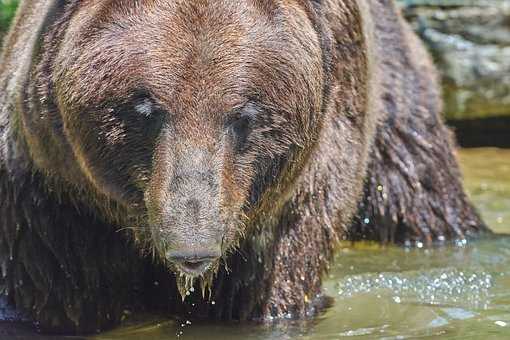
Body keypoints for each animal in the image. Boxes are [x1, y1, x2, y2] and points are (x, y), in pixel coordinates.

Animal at [0, 0, 486, 334]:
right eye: (144, 109)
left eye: (244, 115)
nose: (193, 246)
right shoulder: (57, 195)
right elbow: (57, 291)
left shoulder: (286, 206)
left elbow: (268, 290)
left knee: (419, 191)